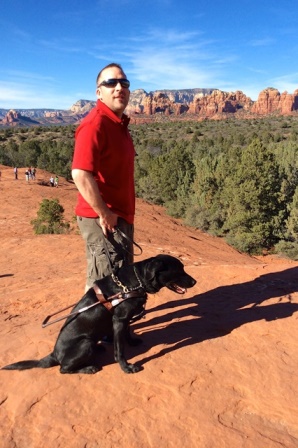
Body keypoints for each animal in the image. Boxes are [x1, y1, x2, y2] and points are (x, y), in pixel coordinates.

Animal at [2, 256, 198, 374]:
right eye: (179, 270)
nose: (195, 281)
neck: (133, 283)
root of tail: (53, 355)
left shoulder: (124, 319)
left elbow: (128, 333)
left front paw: (132, 341)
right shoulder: (119, 321)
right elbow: (119, 349)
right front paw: (126, 367)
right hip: (85, 343)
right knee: (63, 369)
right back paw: (88, 368)